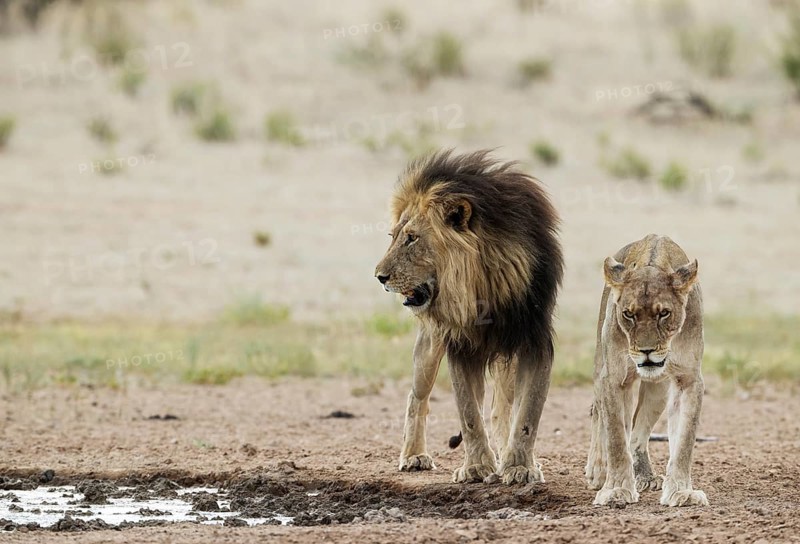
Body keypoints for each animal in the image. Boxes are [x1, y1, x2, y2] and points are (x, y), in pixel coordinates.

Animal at [374, 149, 563, 484]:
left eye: (412, 238)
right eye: (393, 236)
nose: (380, 276)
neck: (481, 283)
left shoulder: (534, 340)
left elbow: (528, 413)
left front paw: (520, 467)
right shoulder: (461, 345)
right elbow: (469, 414)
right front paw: (476, 468)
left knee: (502, 410)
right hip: (429, 347)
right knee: (416, 397)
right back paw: (413, 455)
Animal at [585, 234, 709, 507]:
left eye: (664, 313)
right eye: (628, 314)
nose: (646, 351)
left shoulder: (688, 379)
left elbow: (684, 441)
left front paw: (681, 492)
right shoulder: (614, 379)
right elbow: (615, 437)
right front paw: (616, 489)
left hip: (658, 391)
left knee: (638, 432)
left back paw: (644, 475)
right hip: (601, 367)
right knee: (598, 413)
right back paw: (598, 470)